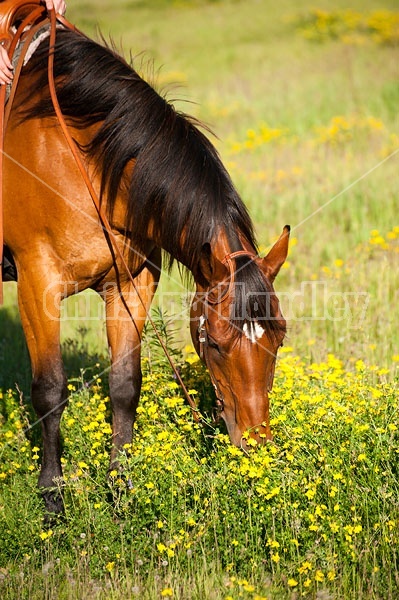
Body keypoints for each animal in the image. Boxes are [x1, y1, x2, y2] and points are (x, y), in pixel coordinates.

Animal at [3, 21, 290, 512]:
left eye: (280, 336)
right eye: (215, 343)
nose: (255, 446)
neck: (81, 160)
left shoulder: (130, 286)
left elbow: (124, 384)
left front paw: (120, 486)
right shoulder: (37, 285)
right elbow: (50, 389)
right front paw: (53, 498)